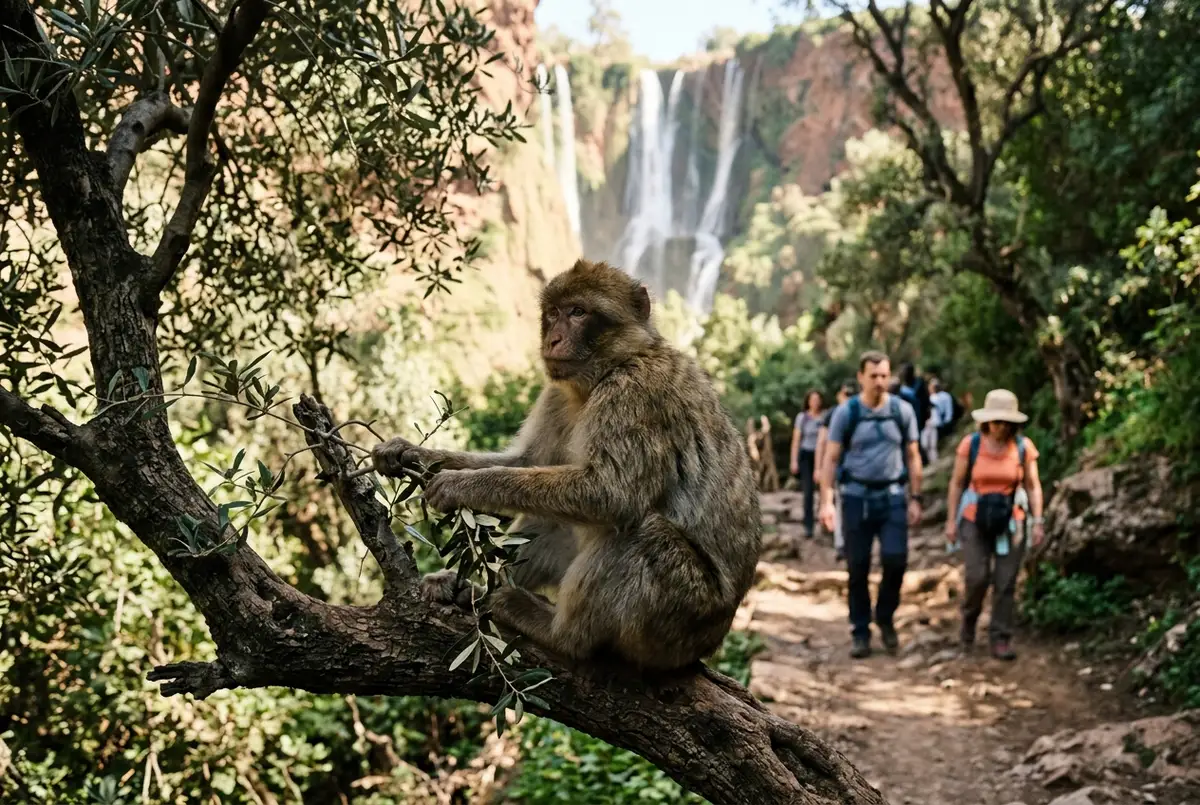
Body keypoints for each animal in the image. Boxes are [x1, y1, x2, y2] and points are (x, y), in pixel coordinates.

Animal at [372, 259, 761, 672]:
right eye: (554, 313)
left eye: (578, 312)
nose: (553, 340)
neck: (608, 370)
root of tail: (711, 641)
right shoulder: (557, 394)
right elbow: (527, 462)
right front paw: (409, 453)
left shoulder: (635, 394)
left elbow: (610, 493)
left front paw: (460, 487)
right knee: (552, 515)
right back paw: (471, 589)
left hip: (679, 618)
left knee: (639, 530)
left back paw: (559, 633)